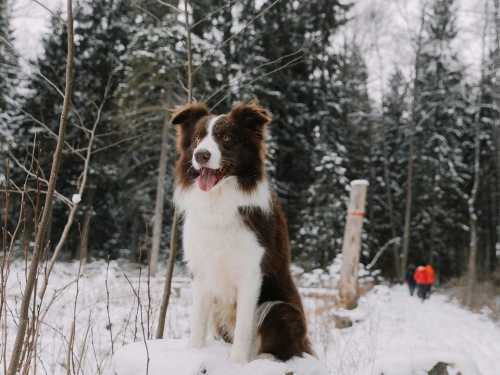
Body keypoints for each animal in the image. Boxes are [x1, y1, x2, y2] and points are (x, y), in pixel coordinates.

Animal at [173, 100, 312, 364]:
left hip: (280, 308)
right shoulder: (202, 272)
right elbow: (198, 323)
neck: (218, 201)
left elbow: (243, 328)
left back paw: (265, 359)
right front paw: (194, 352)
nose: (201, 155)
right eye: (196, 139)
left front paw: (237, 363)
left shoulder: (250, 274)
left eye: (227, 138)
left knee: (287, 349)